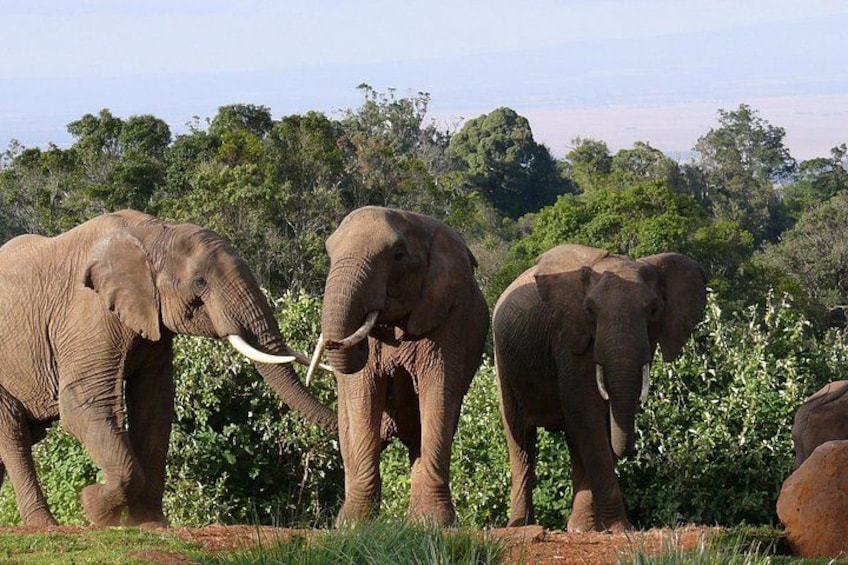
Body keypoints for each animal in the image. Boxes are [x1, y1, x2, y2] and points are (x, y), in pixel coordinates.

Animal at [0, 209, 336, 527]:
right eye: (200, 282)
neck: (154, 233)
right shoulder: (87, 315)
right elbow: (85, 406)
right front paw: (93, 506)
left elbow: (154, 409)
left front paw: (150, 524)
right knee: (14, 434)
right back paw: (44, 524)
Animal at [307, 206, 489, 526]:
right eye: (329, 253)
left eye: (398, 255)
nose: (332, 342)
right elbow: (362, 395)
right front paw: (354, 525)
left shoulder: (451, 320)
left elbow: (438, 392)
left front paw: (436, 524)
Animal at [493, 244, 706, 532]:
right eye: (590, 310)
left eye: (654, 310)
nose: (632, 449)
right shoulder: (569, 336)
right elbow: (586, 413)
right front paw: (619, 528)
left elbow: (600, 421)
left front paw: (598, 528)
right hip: (503, 361)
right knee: (521, 441)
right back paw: (521, 527)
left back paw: (579, 527)